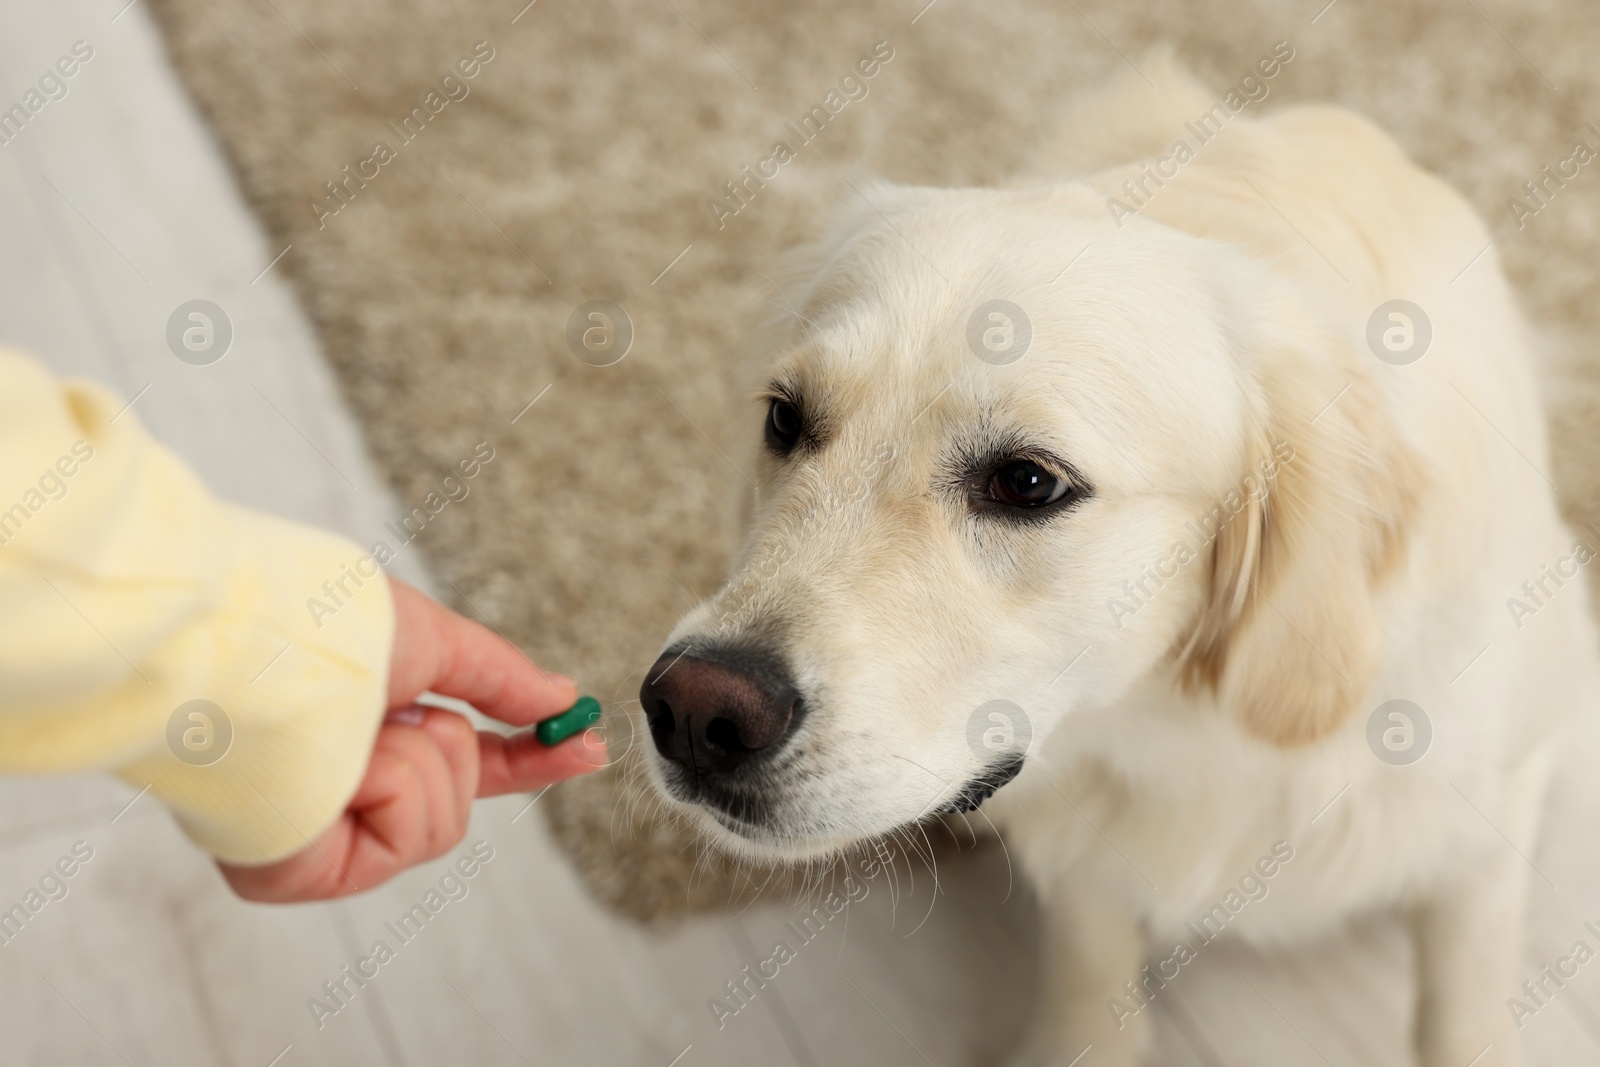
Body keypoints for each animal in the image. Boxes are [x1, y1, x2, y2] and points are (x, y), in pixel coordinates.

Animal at [630, 60, 1593, 1067]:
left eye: (1027, 481)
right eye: (786, 418)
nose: (692, 709)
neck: (1185, 736)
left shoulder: (1490, 819)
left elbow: (1465, 995)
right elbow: (1091, 947)